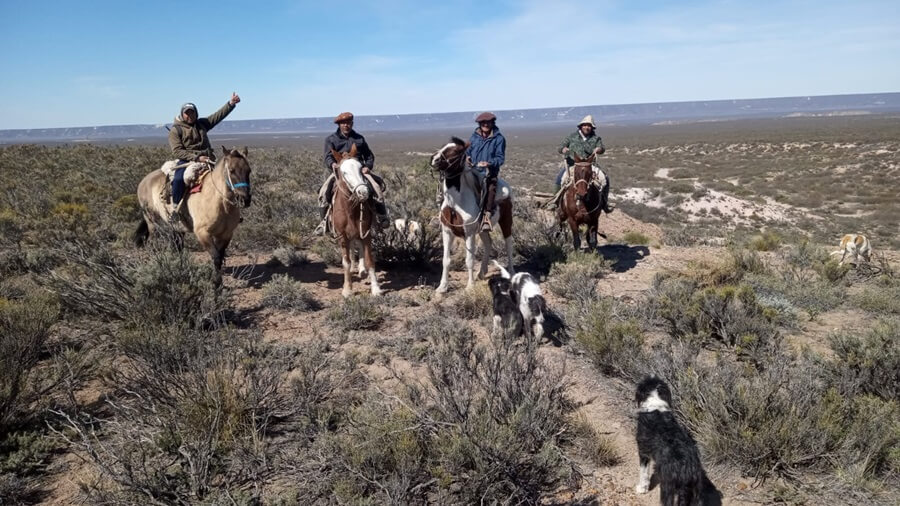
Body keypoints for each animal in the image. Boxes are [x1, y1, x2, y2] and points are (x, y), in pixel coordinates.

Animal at [334, 142, 384, 298]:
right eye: (343, 172)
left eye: (361, 168)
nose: (363, 192)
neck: (350, 210)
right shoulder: (343, 236)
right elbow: (346, 262)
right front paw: (347, 289)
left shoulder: (366, 232)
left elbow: (369, 260)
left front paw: (376, 289)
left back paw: (362, 270)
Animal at [430, 136, 512, 294]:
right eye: (444, 146)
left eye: (456, 151)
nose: (434, 159)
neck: (456, 203)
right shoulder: (447, 231)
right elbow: (446, 260)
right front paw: (442, 287)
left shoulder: (469, 233)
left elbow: (469, 260)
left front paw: (469, 286)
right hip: (483, 229)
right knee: (488, 243)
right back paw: (481, 273)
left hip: (506, 220)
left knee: (508, 244)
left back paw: (512, 273)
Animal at [632, 376, 712, 506]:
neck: (655, 404)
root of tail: (687, 470)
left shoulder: (643, 451)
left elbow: (643, 473)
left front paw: (642, 488)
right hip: (697, 493)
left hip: (667, 488)